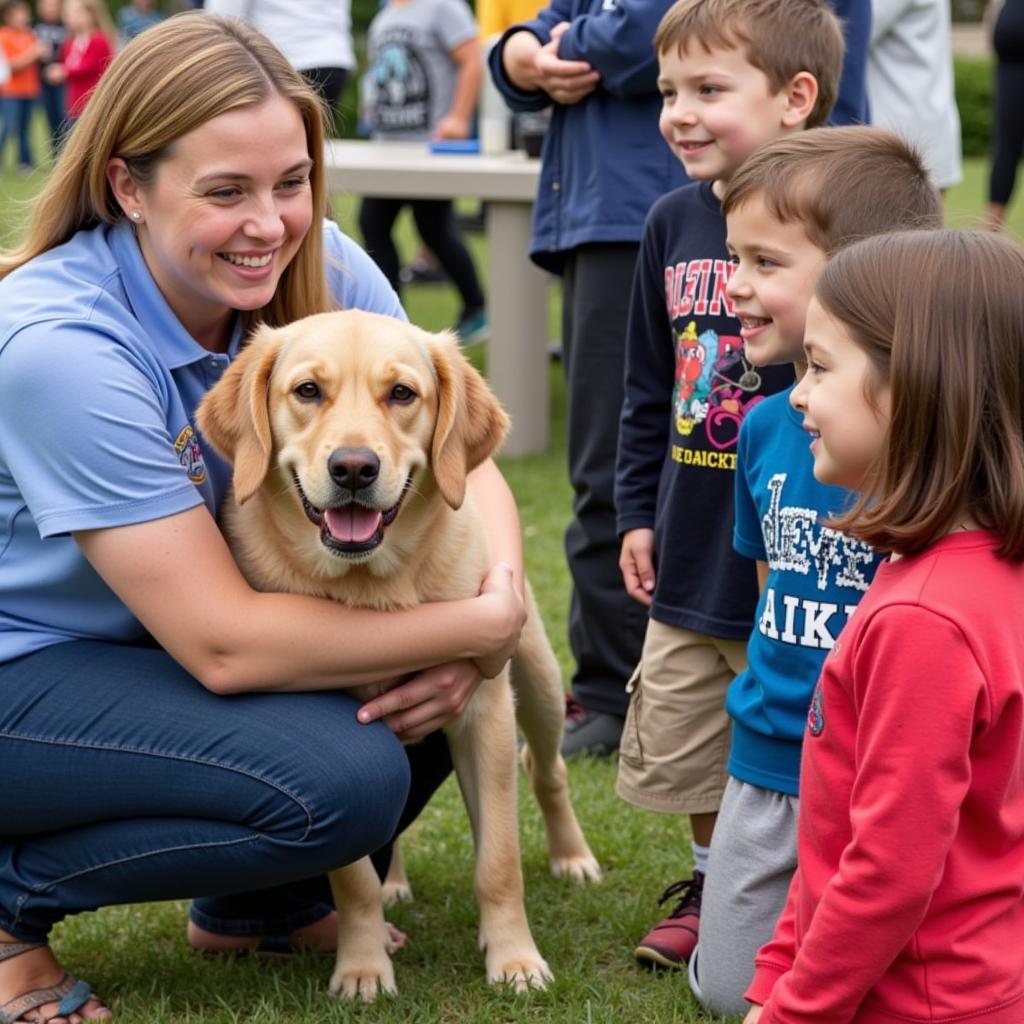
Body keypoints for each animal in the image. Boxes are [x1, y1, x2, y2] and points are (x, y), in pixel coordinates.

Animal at [193, 309, 598, 999]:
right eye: (308, 391)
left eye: (402, 394)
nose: (353, 468)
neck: (372, 584)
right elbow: (353, 878)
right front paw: (362, 966)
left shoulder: (485, 713)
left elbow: (500, 863)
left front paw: (515, 960)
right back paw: (396, 886)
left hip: (538, 680)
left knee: (547, 770)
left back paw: (572, 857)